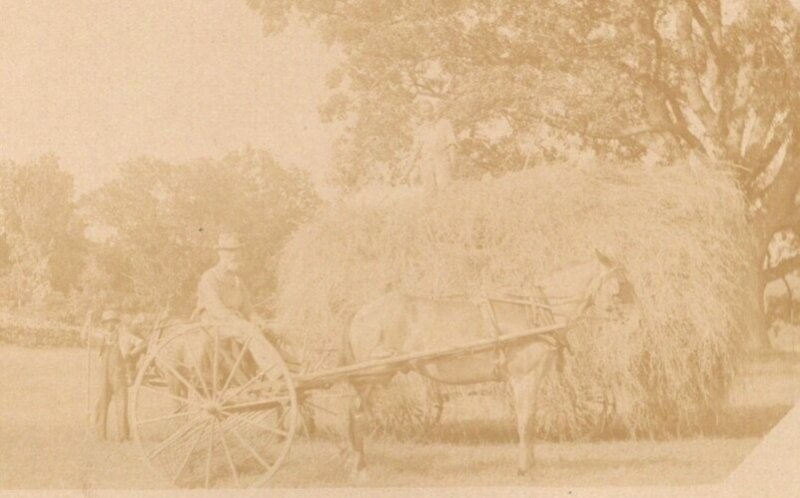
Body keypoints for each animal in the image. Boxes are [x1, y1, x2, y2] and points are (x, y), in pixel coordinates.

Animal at [338, 249, 636, 478]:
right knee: (355, 411)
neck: (536, 312)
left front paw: (531, 465)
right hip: (373, 372)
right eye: (620, 284)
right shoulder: (524, 378)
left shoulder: (531, 379)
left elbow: (529, 419)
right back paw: (359, 465)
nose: (635, 317)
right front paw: (524, 469)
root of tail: (361, 311)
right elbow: (526, 421)